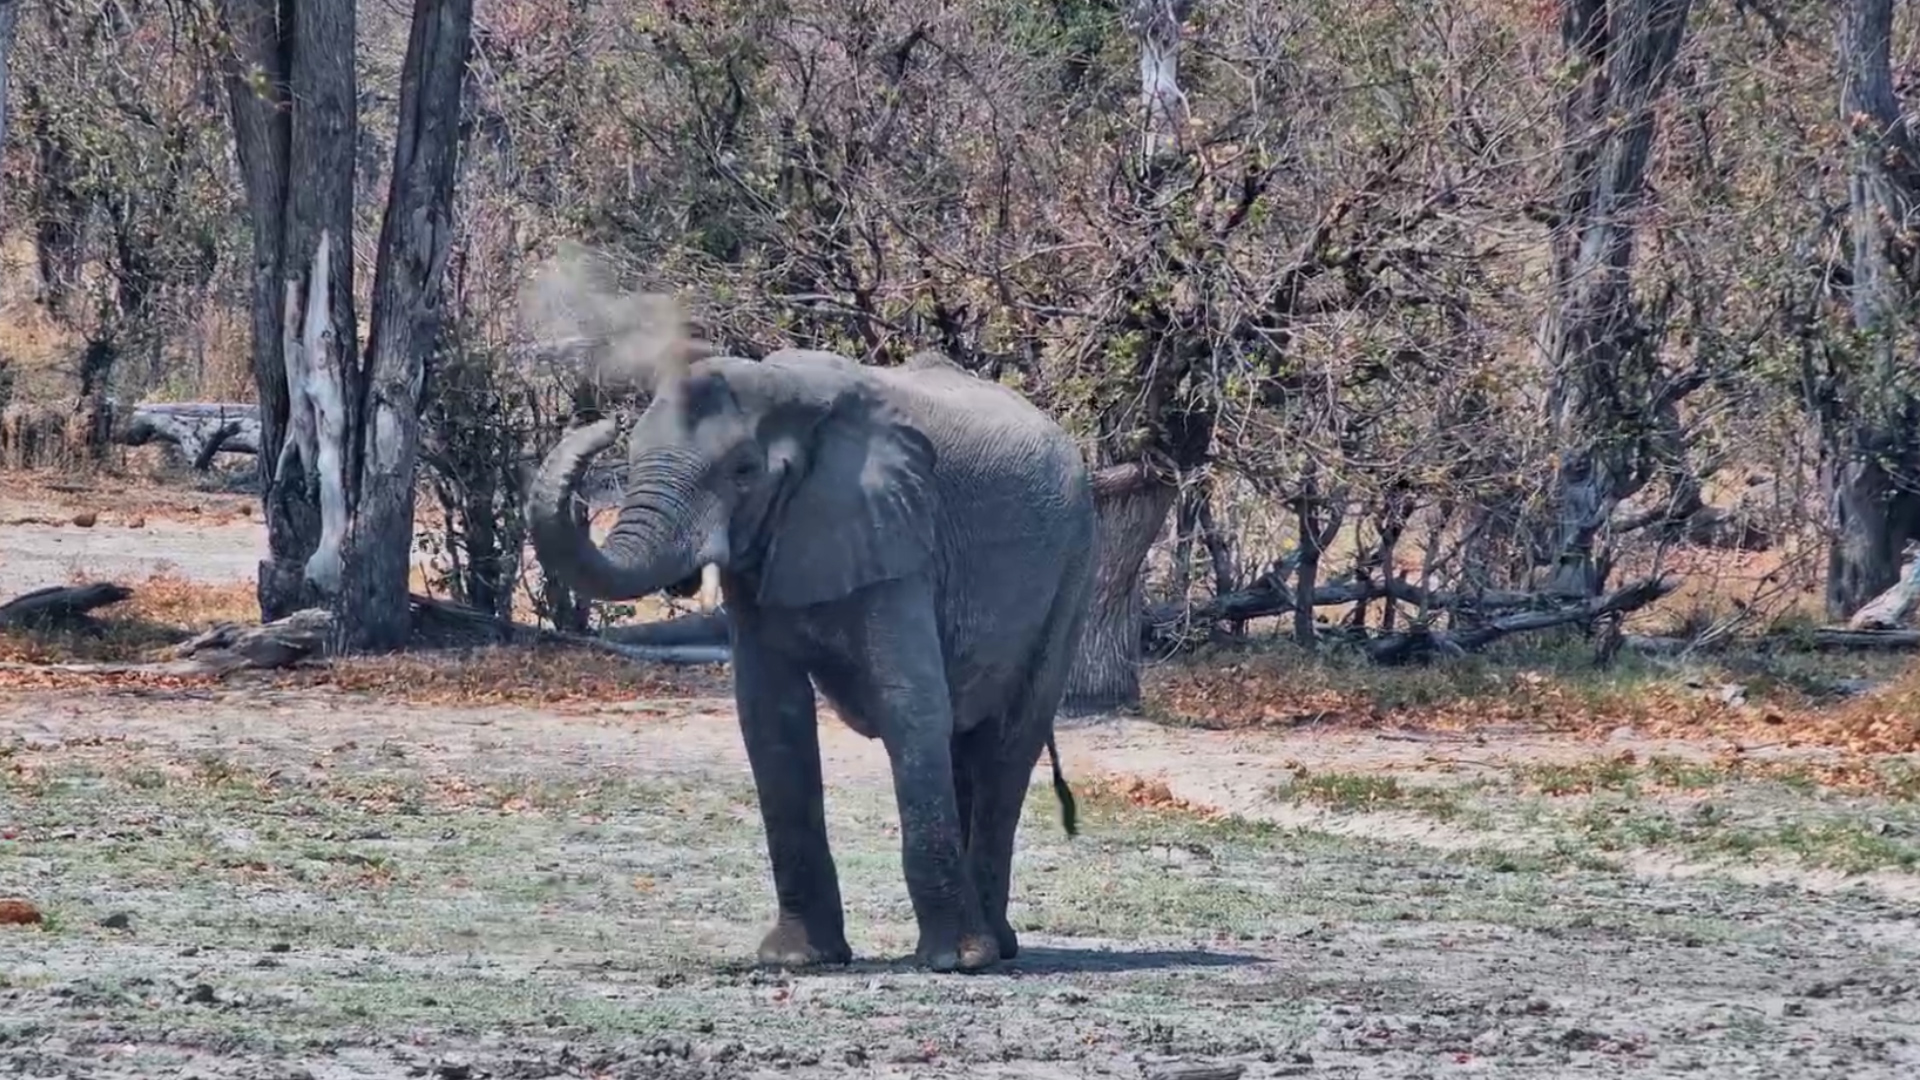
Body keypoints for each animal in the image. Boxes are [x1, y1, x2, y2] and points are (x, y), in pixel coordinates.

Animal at [526, 345, 1097, 973]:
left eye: (743, 471)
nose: (599, 420)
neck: (787, 391)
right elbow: (771, 718)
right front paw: (797, 959)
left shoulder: (898, 538)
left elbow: (910, 708)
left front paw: (955, 963)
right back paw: (995, 944)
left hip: (1074, 562)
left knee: (1007, 742)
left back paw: (990, 950)